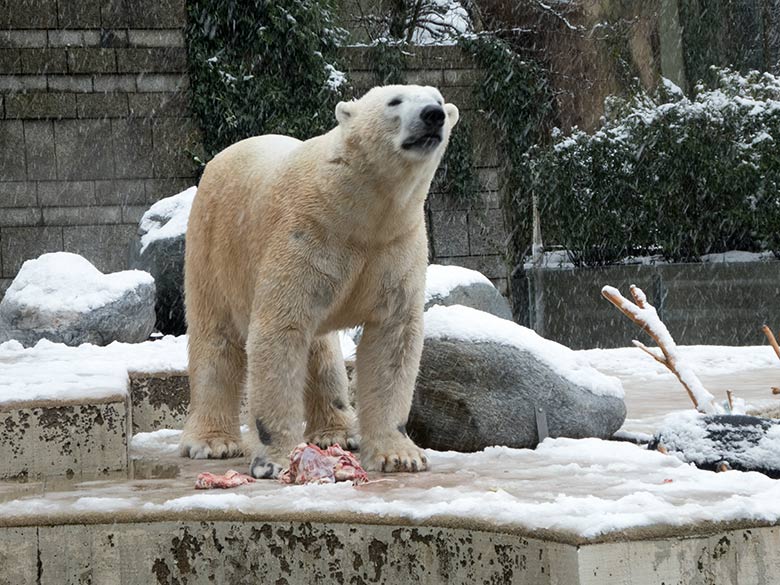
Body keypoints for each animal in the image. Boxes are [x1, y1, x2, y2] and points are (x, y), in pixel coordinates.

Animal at [180, 88, 460, 480]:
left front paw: (400, 455)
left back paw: (337, 433)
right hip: (213, 244)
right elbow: (279, 332)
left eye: (437, 98)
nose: (433, 115)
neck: (358, 211)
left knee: (322, 351)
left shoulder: (396, 243)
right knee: (215, 337)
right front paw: (277, 459)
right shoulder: (306, 232)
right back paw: (212, 442)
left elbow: (394, 337)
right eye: (395, 100)